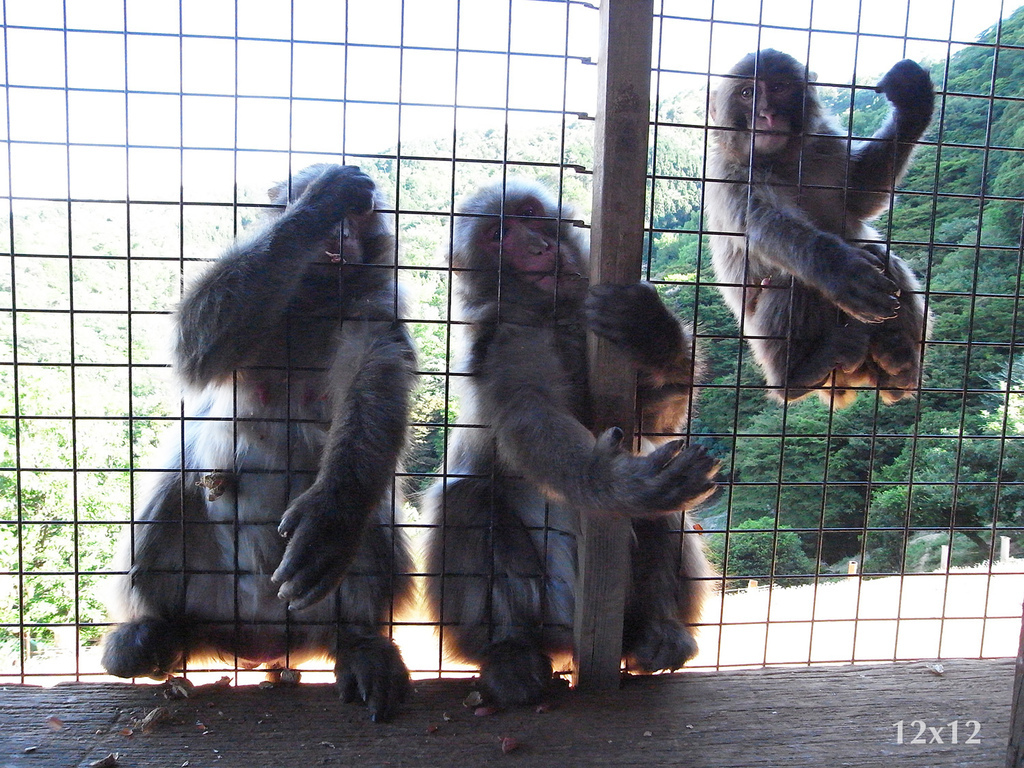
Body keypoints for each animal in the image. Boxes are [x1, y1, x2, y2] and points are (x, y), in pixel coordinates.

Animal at [97, 165, 413, 724]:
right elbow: (195, 342)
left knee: (373, 522)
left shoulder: (378, 305)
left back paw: (357, 640)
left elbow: (374, 381)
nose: (339, 234)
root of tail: (262, 637)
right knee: (173, 497)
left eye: (360, 218)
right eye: (338, 214)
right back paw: (156, 632)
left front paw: (329, 519)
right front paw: (317, 204)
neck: (315, 302)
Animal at [423, 179, 720, 708]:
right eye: (499, 235)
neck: (553, 315)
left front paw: (655, 334)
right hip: (546, 608)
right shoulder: (505, 343)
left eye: (528, 214)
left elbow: (650, 422)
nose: (538, 247)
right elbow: (529, 416)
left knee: (664, 510)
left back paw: (657, 632)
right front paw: (615, 482)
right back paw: (510, 654)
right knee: (467, 498)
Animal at [704, 48, 937, 409]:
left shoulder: (826, 144)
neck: (782, 162)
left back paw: (898, 365)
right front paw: (844, 273)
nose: (767, 114)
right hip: (765, 343)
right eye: (747, 93)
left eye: (779, 87)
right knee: (791, 279)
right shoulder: (730, 173)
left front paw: (913, 103)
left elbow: (860, 195)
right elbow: (764, 225)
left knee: (879, 255)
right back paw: (798, 376)